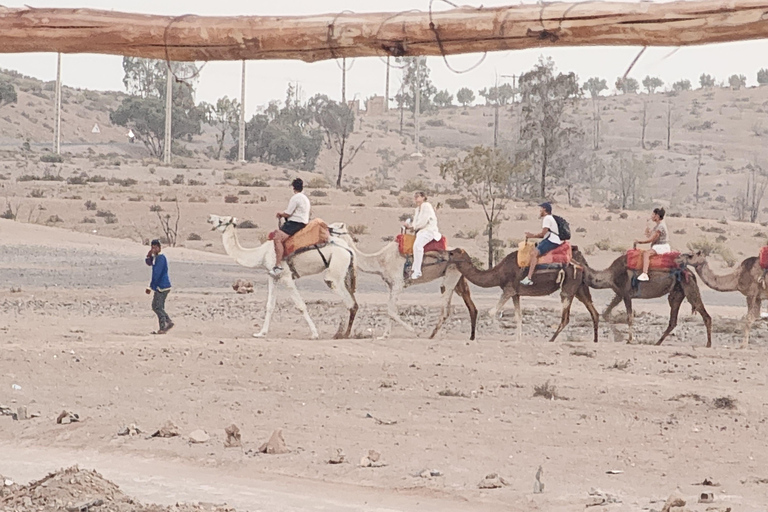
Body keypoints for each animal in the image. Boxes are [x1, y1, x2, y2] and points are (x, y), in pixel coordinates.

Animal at [210, 215, 360, 340]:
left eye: (222, 220)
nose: (210, 218)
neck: (261, 254)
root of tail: (348, 250)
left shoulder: (287, 277)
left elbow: (300, 305)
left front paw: (314, 334)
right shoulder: (273, 276)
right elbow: (270, 305)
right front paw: (261, 333)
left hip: (336, 271)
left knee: (349, 302)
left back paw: (344, 335)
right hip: (345, 272)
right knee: (353, 301)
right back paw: (343, 333)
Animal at [328, 223, 476, 340]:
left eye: (333, 228)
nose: (326, 230)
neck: (380, 260)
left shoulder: (398, 284)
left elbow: (391, 311)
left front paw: (415, 331)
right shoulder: (391, 285)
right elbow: (390, 309)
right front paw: (385, 335)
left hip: (451, 276)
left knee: (446, 307)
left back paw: (431, 334)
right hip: (458, 278)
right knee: (467, 303)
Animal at [444, 247, 600, 342]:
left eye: (452, 253)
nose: (444, 254)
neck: (499, 273)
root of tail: (580, 263)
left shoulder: (508, 290)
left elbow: (491, 312)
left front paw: (500, 334)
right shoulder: (515, 293)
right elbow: (518, 316)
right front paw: (518, 339)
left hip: (568, 287)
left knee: (566, 317)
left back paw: (550, 339)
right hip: (580, 288)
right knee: (594, 312)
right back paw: (595, 340)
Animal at [568, 252, 712, 348]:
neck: (610, 276)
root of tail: (691, 273)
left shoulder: (626, 294)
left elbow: (629, 317)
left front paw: (629, 340)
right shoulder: (619, 294)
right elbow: (606, 313)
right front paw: (619, 337)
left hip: (689, 288)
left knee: (705, 314)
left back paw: (708, 344)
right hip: (677, 292)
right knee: (673, 321)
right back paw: (657, 342)